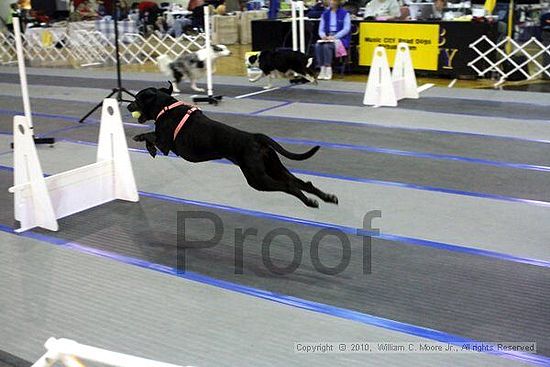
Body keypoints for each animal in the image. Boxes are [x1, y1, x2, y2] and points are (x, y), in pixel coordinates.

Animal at [128, 84, 340, 208]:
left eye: (137, 99)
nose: (128, 106)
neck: (165, 107)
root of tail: (256, 137)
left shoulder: (165, 143)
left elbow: (150, 135)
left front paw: (141, 140)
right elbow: (151, 137)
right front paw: (148, 147)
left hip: (257, 178)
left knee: (289, 186)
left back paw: (309, 202)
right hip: (273, 167)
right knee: (303, 183)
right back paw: (327, 198)